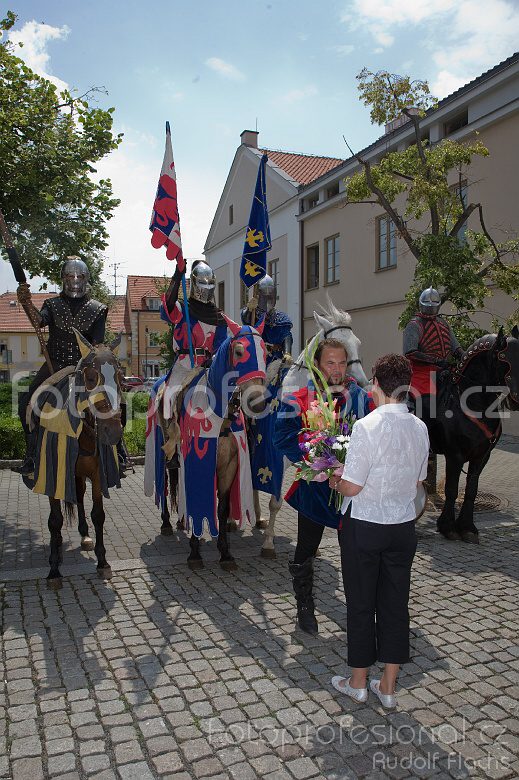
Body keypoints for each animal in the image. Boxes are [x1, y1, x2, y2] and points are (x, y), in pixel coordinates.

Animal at [23, 330, 124, 592]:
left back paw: (85, 535)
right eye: (90, 378)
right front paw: (53, 569)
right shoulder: (52, 474)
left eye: (120, 377)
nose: (112, 432)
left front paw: (103, 562)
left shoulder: (98, 474)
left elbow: (98, 514)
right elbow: (55, 520)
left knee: (78, 497)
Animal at [146, 320, 268, 568]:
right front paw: (194, 552)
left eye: (265, 353)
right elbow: (197, 499)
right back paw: (167, 523)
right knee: (165, 485)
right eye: (239, 352)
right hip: (162, 452)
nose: (258, 403)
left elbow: (222, 508)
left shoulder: (229, 466)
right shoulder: (197, 461)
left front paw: (225, 553)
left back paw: (182, 520)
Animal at [252, 298, 370, 560]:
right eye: (339, 347)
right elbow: (275, 502)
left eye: (357, 343)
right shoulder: (276, 459)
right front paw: (268, 543)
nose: (363, 382)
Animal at [418, 324, 519, 544]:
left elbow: (471, 490)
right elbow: (451, 489)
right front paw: (448, 527)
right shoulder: (454, 455)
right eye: (505, 359)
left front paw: (467, 527)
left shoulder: (481, 456)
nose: (516, 398)